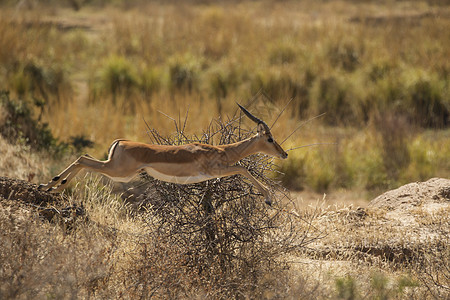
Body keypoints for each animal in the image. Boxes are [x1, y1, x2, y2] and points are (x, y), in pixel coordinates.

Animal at [38, 104, 286, 205]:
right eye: (270, 139)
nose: (284, 154)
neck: (224, 150)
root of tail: (121, 142)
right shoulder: (217, 170)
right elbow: (244, 168)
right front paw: (268, 199)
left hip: (116, 169)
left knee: (84, 157)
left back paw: (50, 186)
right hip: (119, 171)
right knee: (82, 159)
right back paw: (51, 186)